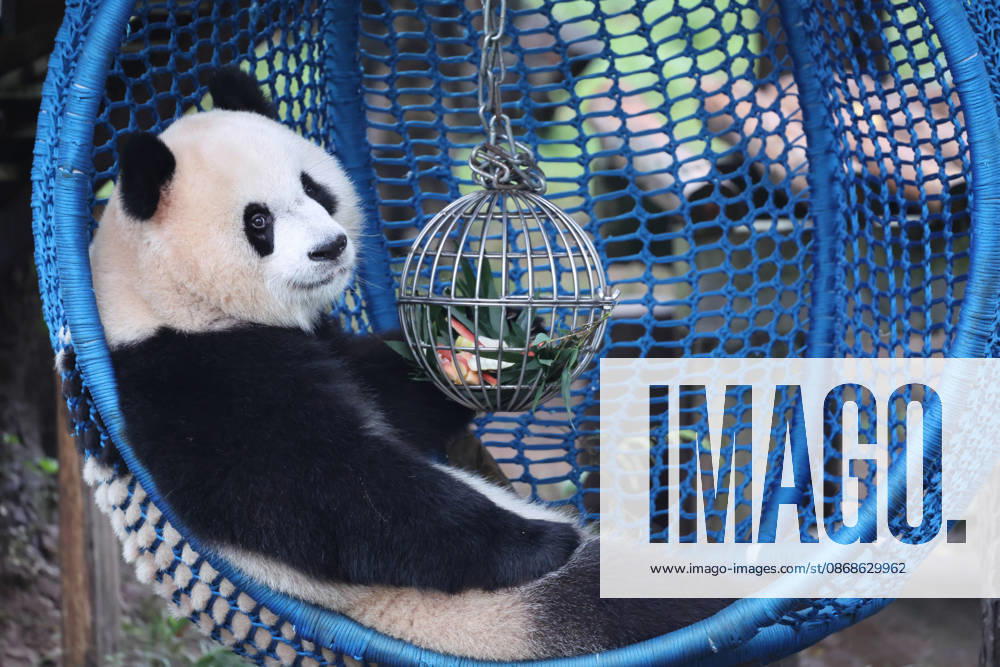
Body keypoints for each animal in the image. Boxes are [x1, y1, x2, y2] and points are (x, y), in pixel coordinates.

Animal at [88, 67, 729, 661]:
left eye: (314, 189)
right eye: (259, 221)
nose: (330, 248)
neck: (160, 293)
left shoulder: (313, 341)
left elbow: (390, 393)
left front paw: (509, 341)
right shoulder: (193, 379)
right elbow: (332, 490)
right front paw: (539, 541)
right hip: (485, 619)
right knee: (639, 604)